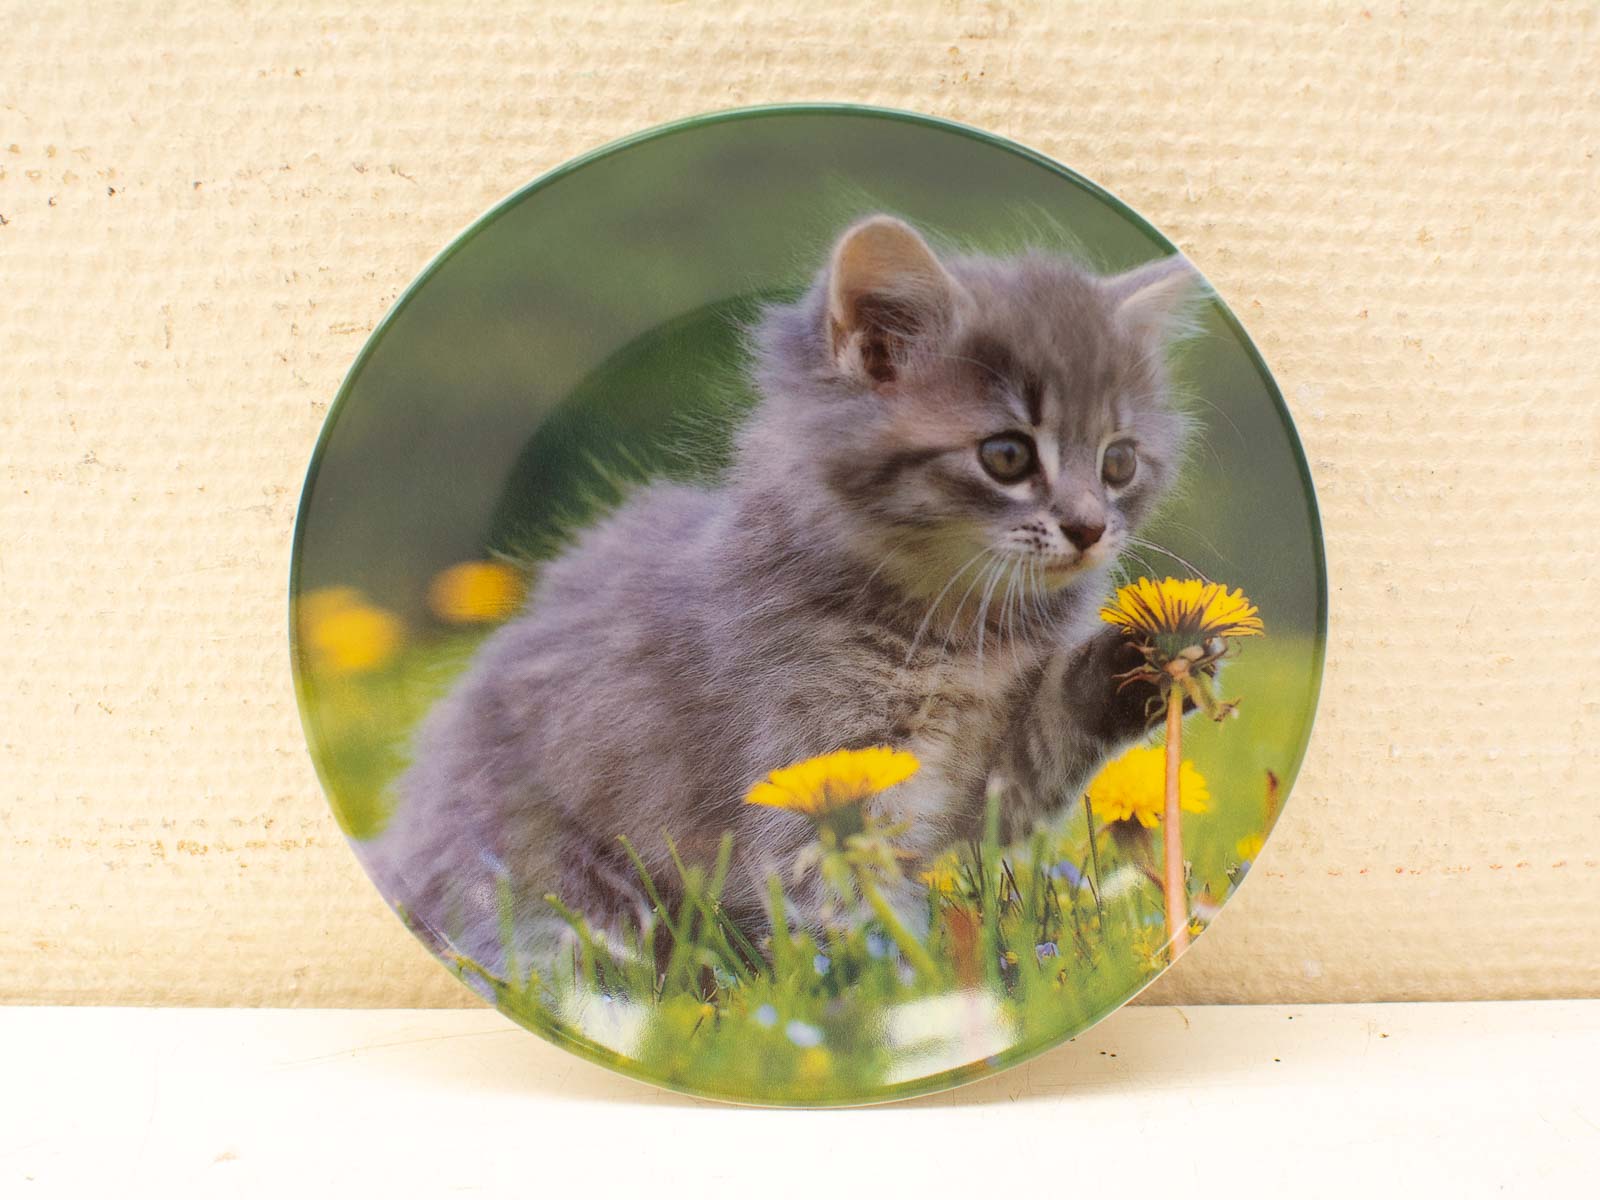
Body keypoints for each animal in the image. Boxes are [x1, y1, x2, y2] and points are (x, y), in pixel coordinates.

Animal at [371, 216, 1203, 979]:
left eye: (1119, 463)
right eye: (1006, 455)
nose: (1090, 528)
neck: (959, 628)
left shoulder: (997, 771)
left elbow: (1058, 726)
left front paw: (1150, 651)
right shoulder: (814, 776)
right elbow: (854, 917)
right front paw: (918, 997)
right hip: (546, 891)